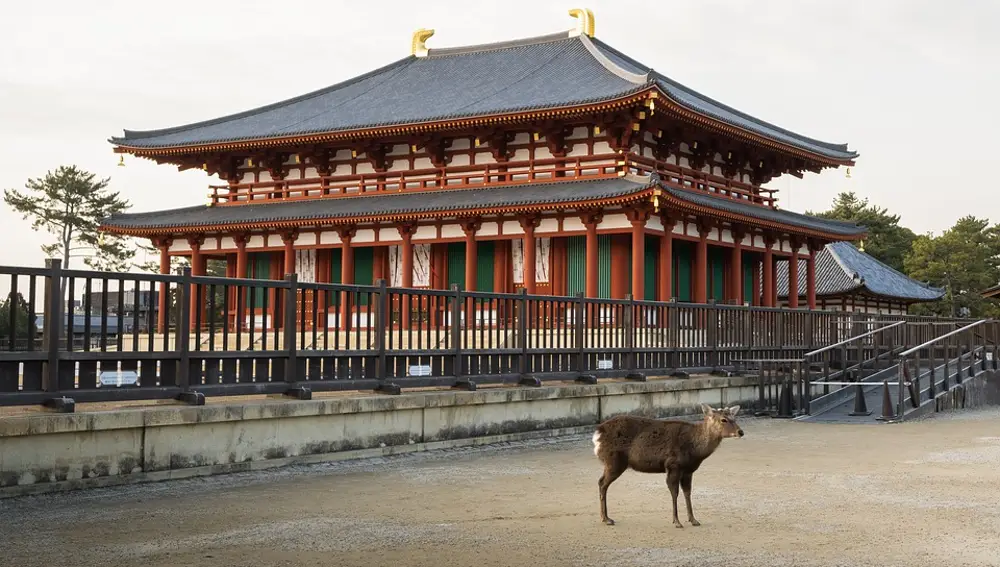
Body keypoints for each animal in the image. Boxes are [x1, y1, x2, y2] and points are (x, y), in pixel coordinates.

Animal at [591, 404, 744, 527]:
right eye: (723, 419)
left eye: (734, 418)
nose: (740, 432)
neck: (695, 451)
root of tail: (597, 434)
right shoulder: (673, 465)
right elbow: (674, 492)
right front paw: (677, 521)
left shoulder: (688, 471)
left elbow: (687, 492)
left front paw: (693, 520)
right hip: (614, 462)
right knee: (602, 483)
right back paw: (606, 519)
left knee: (601, 482)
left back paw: (605, 517)